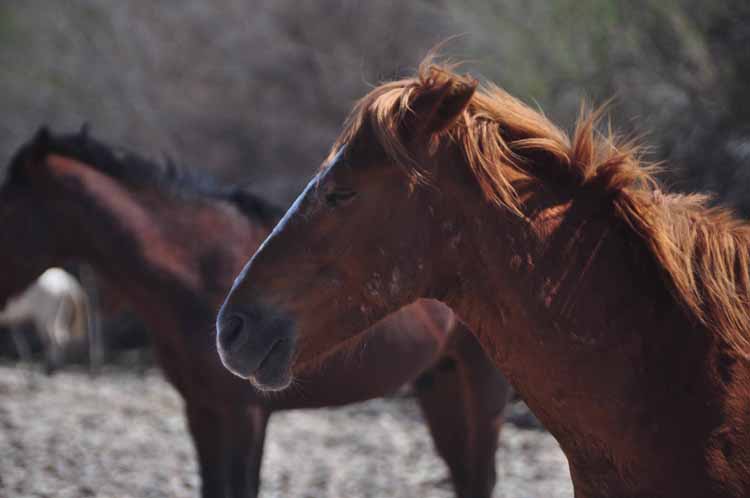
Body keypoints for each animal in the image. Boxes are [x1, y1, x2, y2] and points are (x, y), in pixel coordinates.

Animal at [0, 129, 516, 498]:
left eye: (7, 206)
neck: (198, 274)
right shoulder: (203, 409)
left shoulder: (243, 412)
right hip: (439, 380)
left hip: (481, 383)